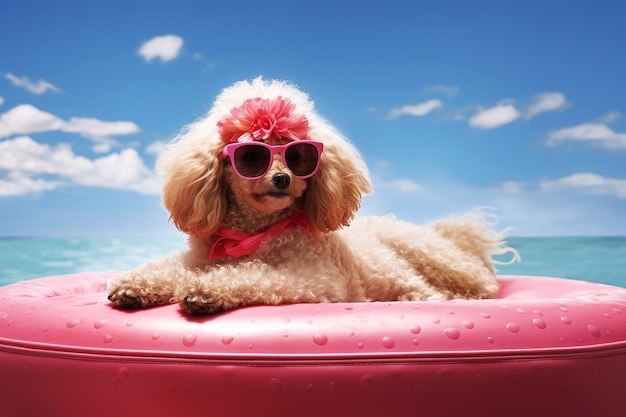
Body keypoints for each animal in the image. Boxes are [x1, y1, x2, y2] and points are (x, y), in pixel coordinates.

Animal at [108, 76, 516, 314]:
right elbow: (167, 269)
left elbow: (255, 276)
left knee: (462, 288)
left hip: (435, 259)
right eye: (250, 155)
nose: (282, 178)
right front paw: (134, 287)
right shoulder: (198, 256)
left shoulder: (316, 278)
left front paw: (205, 291)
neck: (251, 235)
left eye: (297, 154)